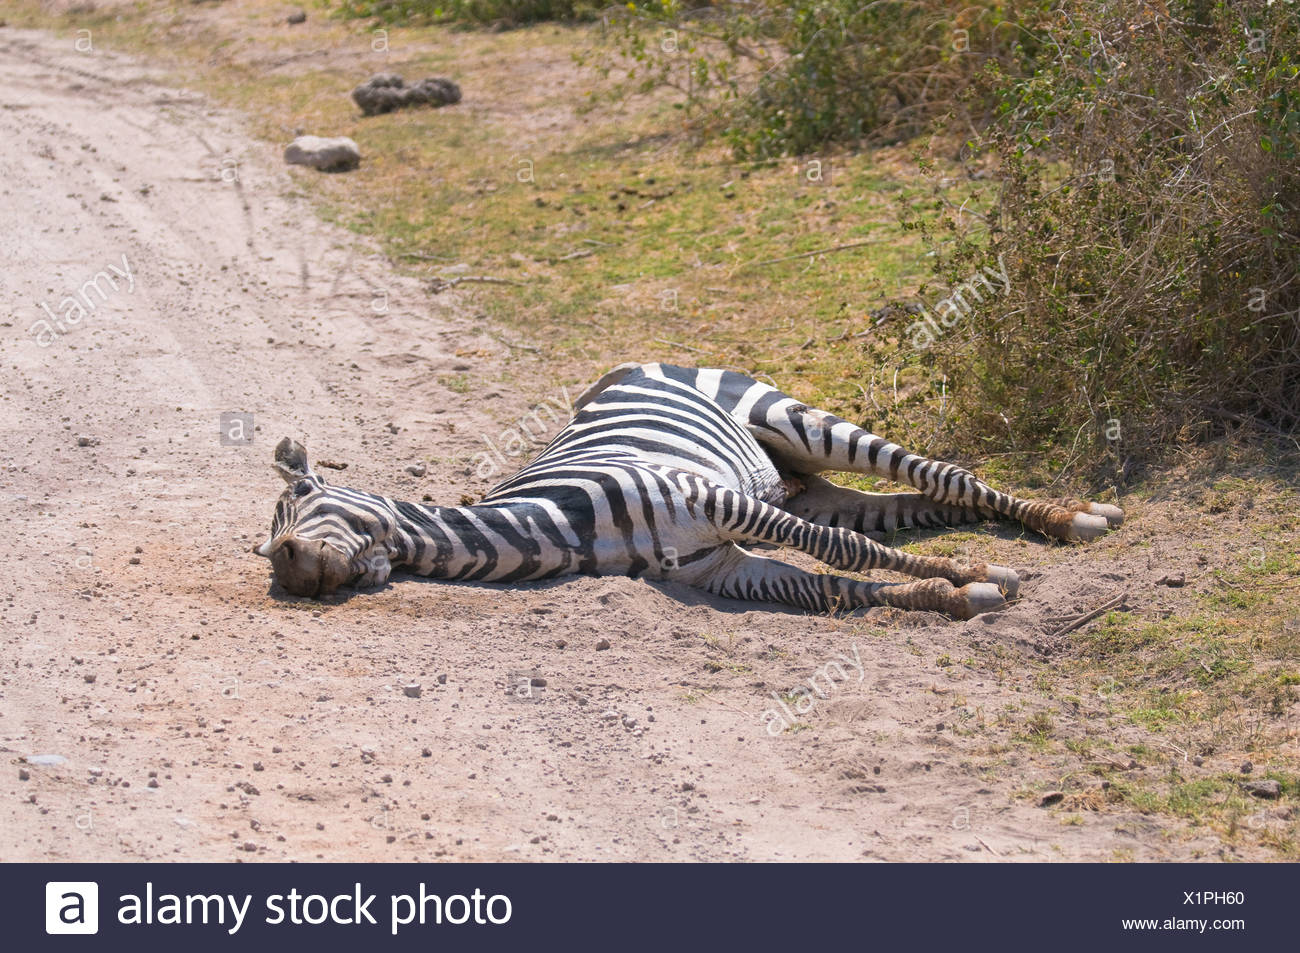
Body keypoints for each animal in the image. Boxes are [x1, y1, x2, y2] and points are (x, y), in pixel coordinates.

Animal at [254, 362, 1122, 618]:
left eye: (297, 506)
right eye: (267, 550)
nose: (289, 568)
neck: (559, 522)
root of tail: (624, 366)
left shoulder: (715, 505)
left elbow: (841, 555)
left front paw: (978, 572)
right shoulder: (715, 567)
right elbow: (836, 586)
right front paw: (955, 591)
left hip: (788, 420)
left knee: (937, 475)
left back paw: (1072, 518)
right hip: (797, 485)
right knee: (911, 506)